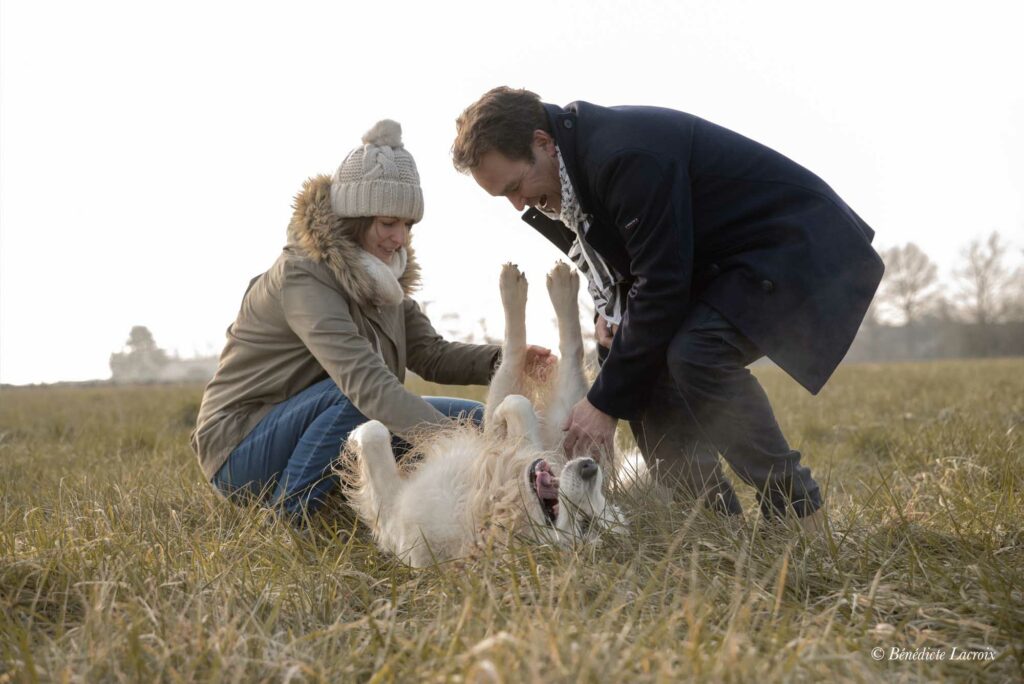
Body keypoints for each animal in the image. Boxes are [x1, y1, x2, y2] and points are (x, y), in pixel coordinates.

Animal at [342, 262, 622, 565]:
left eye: (586, 523)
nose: (589, 467)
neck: (495, 503)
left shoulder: (394, 512)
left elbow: (374, 432)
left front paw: (354, 438)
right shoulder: (523, 449)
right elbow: (517, 405)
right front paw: (503, 419)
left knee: (521, 356)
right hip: (565, 423)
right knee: (559, 352)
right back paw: (554, 284)